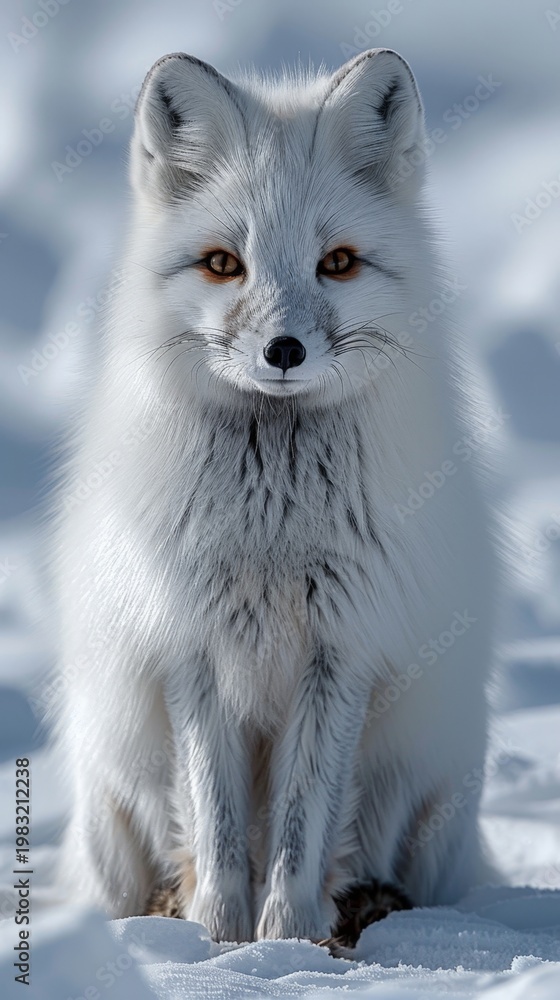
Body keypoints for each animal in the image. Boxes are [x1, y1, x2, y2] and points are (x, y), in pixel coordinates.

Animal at [51, 48, 496, 948]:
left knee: (380, 865)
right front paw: (220, 944)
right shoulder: (189, 643)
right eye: (224, 263)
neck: (272, 531)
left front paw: (284, 941)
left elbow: (301, 831)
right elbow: (217, 827)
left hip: (431, 774)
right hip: (106, 781)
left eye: (339, 262)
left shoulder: (345, 647)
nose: (283, 349)